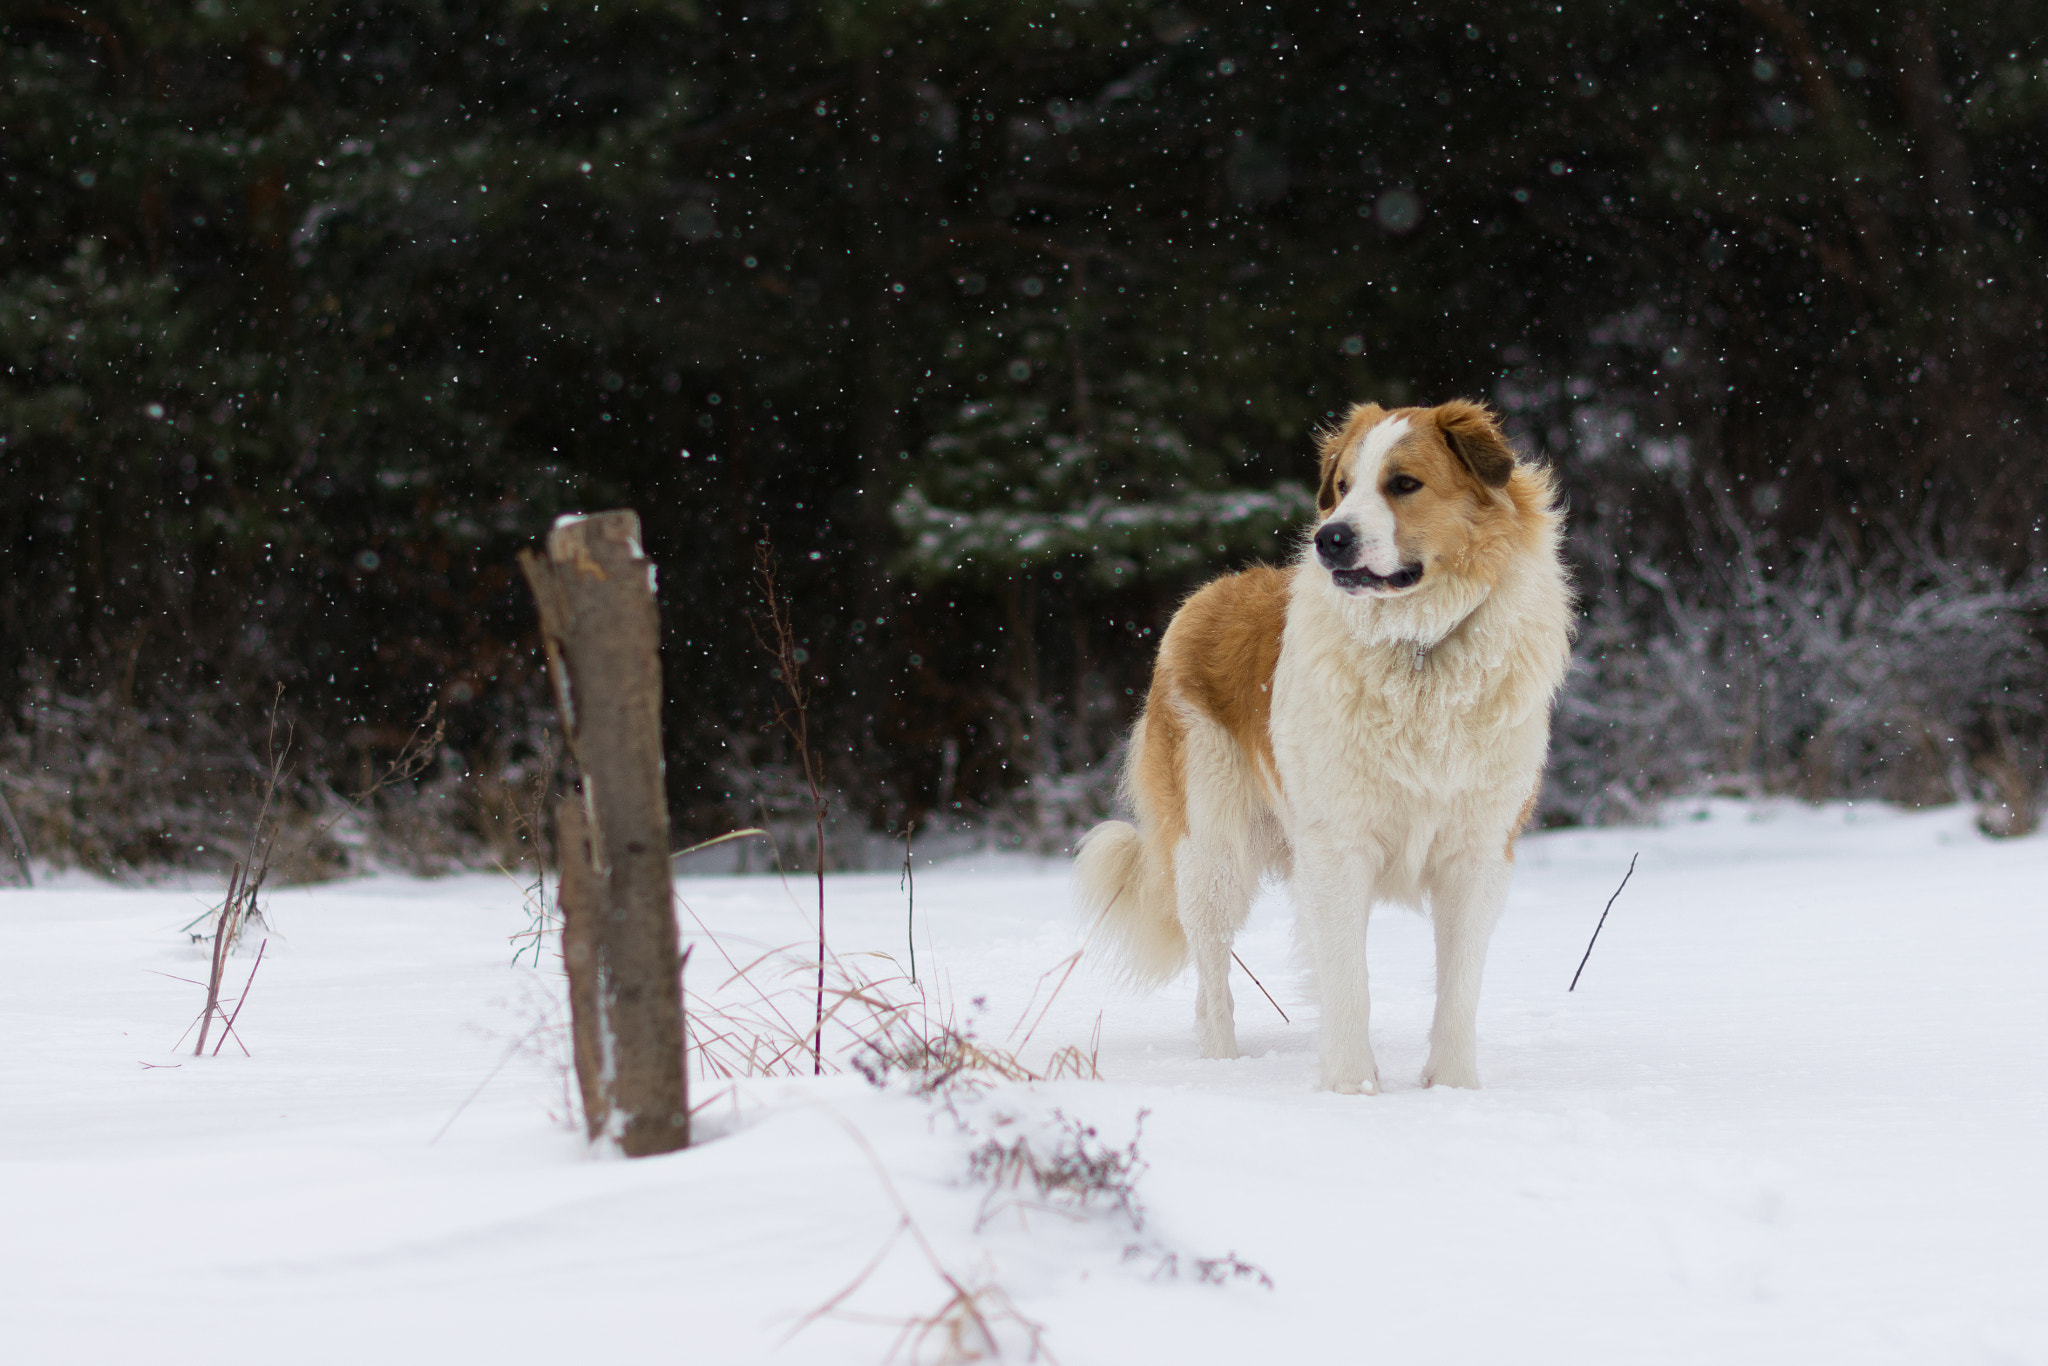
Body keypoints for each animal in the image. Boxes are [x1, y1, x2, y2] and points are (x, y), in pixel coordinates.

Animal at [1081, 401, 1572, 1097]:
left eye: (1403, 484)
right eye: (1342, 487)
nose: (1330, 538)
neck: (1419, 653)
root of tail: (1205, 596)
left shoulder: (1476, 853)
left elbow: (1457, 986)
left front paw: (1451, 1089)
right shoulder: (1339, 849)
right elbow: (1350, 981)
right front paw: (1351, 1091)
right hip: (1212, 851)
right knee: (1212, 978)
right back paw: (1222, 1069)